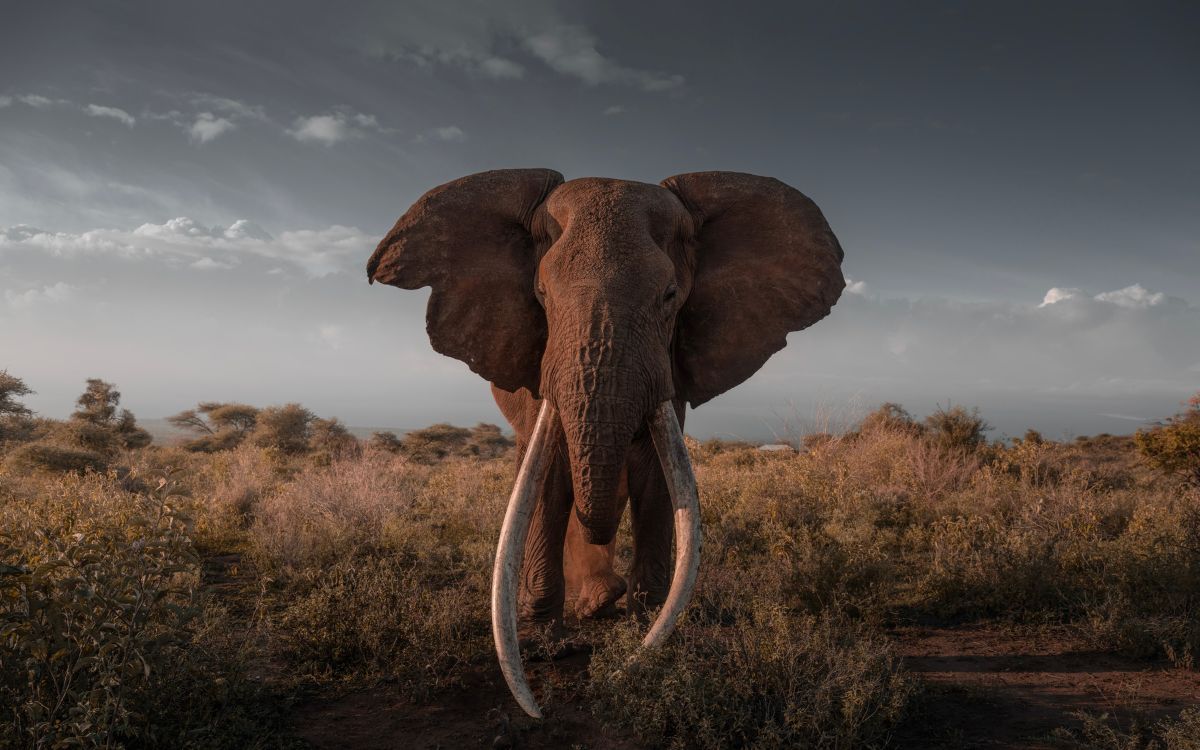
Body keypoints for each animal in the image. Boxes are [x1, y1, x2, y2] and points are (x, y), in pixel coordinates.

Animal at [367, 169, 845, 717]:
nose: (542, 709)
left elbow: (657, 478)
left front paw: (646, 639)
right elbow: (549, 479)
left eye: (670, 295)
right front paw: (544, 649)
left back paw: (601, 602)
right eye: (541, 293)